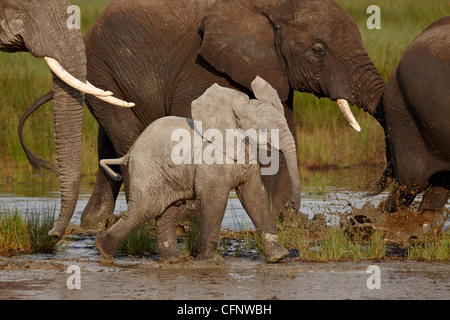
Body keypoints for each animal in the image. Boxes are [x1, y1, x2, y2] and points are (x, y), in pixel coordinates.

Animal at [22, 0, 386, 230]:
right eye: (318, 50)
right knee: (126, 135)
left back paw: (94, 224)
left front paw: (288, 222)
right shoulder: (203, 66)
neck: (269, 6)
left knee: (108, 140)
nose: (368, 204)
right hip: (102, 67)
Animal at [95, 76, 300, 264]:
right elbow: (215, 199)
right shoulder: (211, 161)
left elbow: (255, 196)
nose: (291, 209)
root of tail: (130, 151)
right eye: (264, 131)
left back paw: (174, 259)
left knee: (168, 211)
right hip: (148, 170)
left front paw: (279, 257)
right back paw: (103, 251)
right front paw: (213, 261)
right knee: (144, 209)